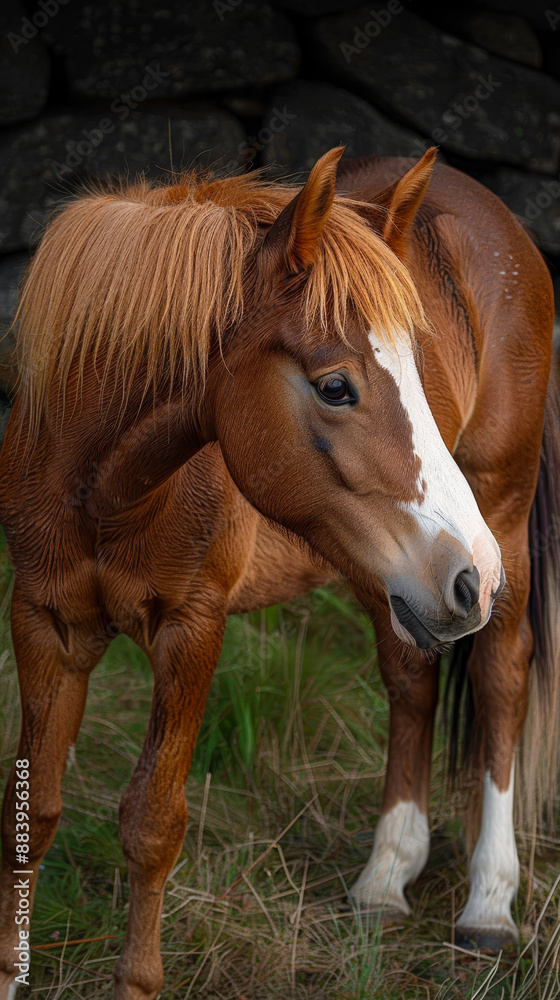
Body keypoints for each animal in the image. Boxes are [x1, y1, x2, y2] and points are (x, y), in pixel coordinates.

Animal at [0, 144, 557, 1000]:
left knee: (500, 678)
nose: (474, 578)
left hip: (497, 514)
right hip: (396, 578)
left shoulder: (191, 629)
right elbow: (31, 814)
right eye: (336, 385)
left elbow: (152, 823)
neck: (102, 489)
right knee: (411, 678)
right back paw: (385, 878)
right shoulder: (42, 623)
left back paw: (489, 903)